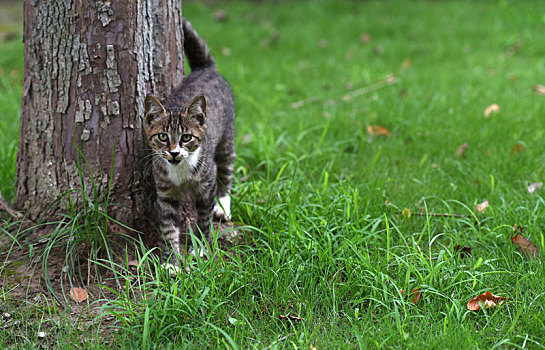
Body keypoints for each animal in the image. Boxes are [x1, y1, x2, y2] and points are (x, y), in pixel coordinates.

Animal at [142, 18, 234, 266]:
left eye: (186, 137)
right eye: (162, 136)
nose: (174, 152)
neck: (180, 170)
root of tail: (206, 69)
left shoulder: (206, 185)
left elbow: (203, 219)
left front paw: (200, 248)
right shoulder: (165, 191)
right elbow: (168, 226)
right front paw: (171, 262)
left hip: (227, 138)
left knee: (226, 169)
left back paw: (223, 205)